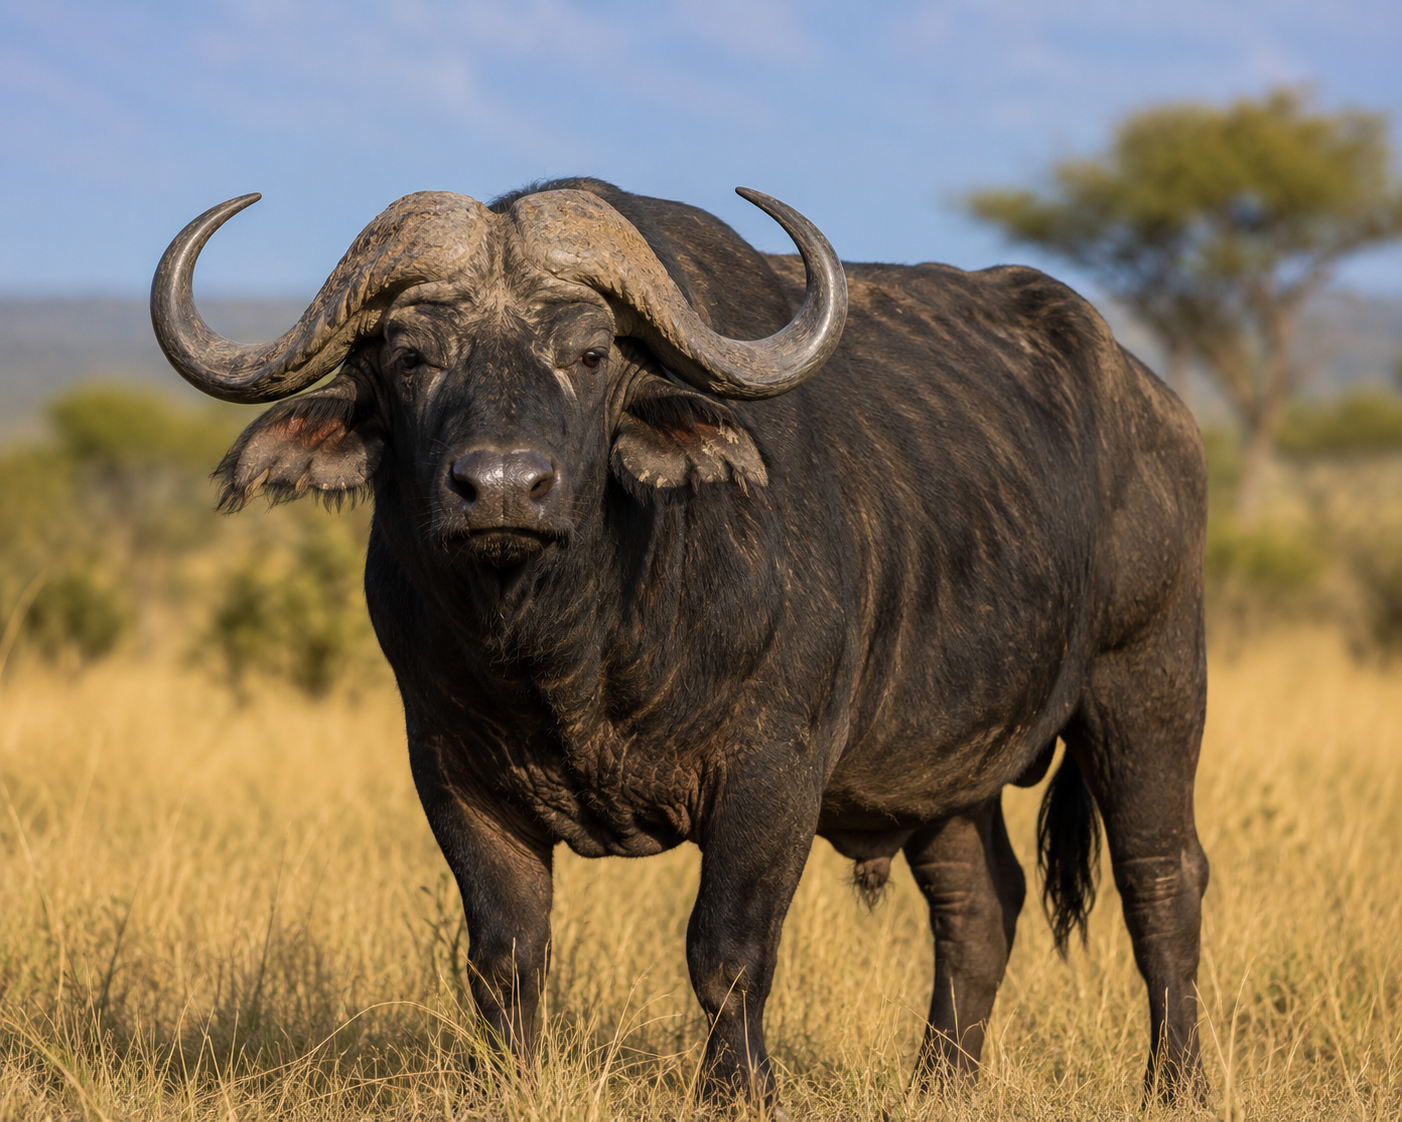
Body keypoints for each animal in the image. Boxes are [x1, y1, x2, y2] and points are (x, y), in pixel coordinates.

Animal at [152, 179, 1209, 1113]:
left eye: (588, 353)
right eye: (411, 357)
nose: (502, 487)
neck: (571, 647)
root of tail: (1161, 411)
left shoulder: (773, 772)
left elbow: (727, 951)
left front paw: (738, 1093)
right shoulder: (451, 769)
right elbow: (505, 955)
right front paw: (509, 1086)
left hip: (1148, 685)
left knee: (1162, 880)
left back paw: (1175, 1084)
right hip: (944, 771)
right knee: (981, 904)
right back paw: (940, 1085)